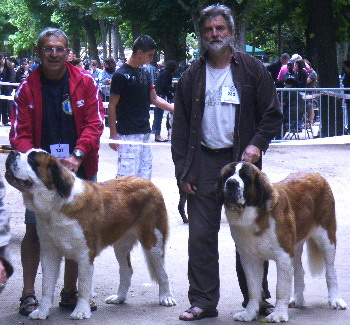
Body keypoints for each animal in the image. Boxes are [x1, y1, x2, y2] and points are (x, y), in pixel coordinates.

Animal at [4, 149, 176, 318]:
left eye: (32, 160)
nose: (12, 153)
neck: (55, 206)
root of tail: (148, 182)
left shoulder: (85, 254)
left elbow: (83, 286)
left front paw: (80, 310)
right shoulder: (49, 252)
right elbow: (46, 285)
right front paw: (42, 311)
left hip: (153, 241)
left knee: (163, 272)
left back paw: (166, 297)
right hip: (121, 245)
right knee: (127, 270)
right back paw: (119, 297)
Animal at [217, 162, 346, 322]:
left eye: (245, 177)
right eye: (227, 175)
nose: (231, 183)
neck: (256, 214)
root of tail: (316, 174)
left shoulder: (283, 256)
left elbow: (280, 288)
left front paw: (278, 314)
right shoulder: (249, 258)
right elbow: (253, 289)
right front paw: (249, 313)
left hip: (326, 238)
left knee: (330, 271)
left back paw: (335, 299)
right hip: (295, 245)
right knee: (299, 270)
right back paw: (297, 299)